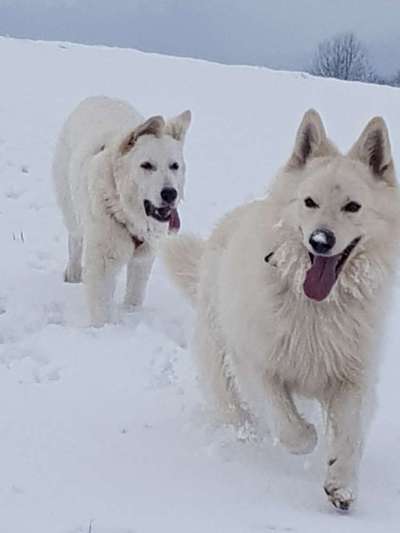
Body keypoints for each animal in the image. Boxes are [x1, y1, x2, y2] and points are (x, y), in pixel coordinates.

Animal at [53, 95, 191, 324]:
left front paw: (131, 314)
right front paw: (103, 329)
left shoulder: (144, 256)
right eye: (146, 165)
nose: (170, 194)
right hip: (70, 207)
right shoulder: (103, 260)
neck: (124, 210)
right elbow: (100, 304)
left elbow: (135, 293)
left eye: (174, 166)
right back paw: (73, 274)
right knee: (75, 239)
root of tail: (97, 97)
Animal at [162, 109, 400, 512]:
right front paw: (307, 437)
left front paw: (341, 484)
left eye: (352, 207)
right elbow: (289, 425)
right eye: (309, 202)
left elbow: (350, 436)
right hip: (221, 367)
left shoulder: (353, 377)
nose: (321, 241)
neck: (317, 306)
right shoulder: (257, 364)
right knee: (236, 409)